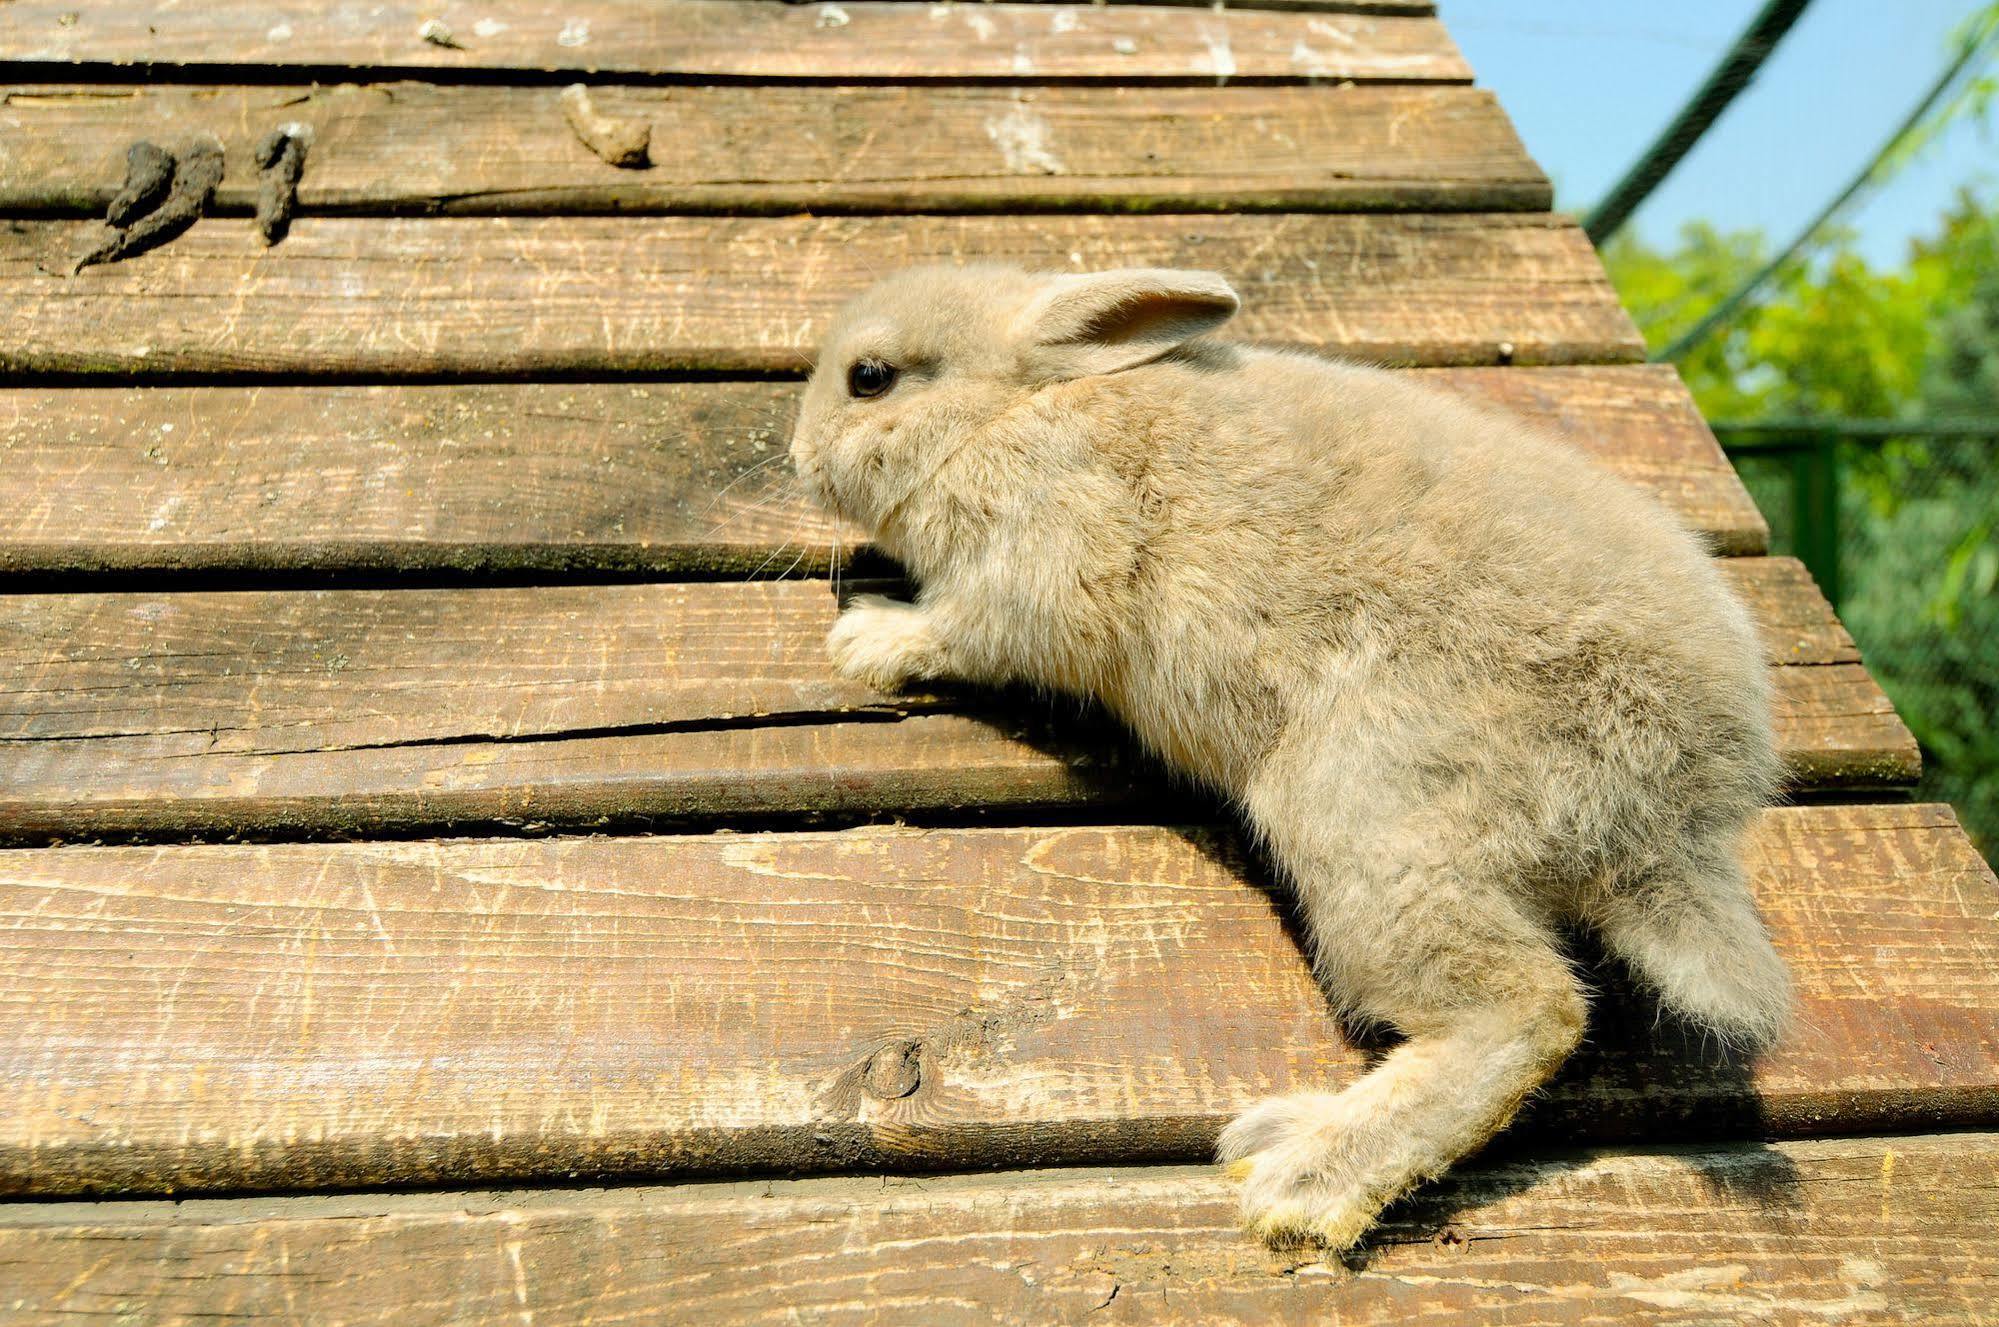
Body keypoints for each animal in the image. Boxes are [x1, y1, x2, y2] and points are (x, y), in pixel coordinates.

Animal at [783, 263, 1799, 1247]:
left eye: (868, 377)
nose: (796, 458)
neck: (1012, 410)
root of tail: (1675, 817)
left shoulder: (1036, 567)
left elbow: (962, 628)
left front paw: (868, 639)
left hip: (1370, 825)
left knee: (1526, 1011)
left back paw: (1298, 1177)